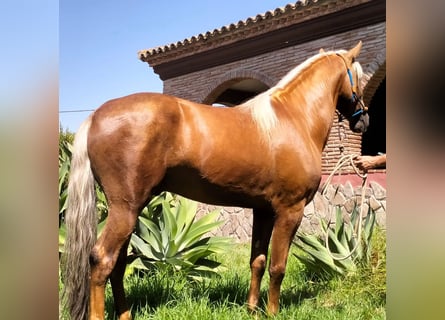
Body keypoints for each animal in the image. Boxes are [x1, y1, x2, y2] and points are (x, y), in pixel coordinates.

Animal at [62, 41, 368, 318]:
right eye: (362, 79)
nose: (363, 120)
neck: (292, 119)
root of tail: (96, 116)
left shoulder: (263, 210)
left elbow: (257, 261)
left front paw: (252, 310)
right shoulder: (290, 210)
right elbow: (278, 267)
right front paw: (272, 312)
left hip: (130, 210)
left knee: (118, 264)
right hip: (125, 209)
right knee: (102, 260)